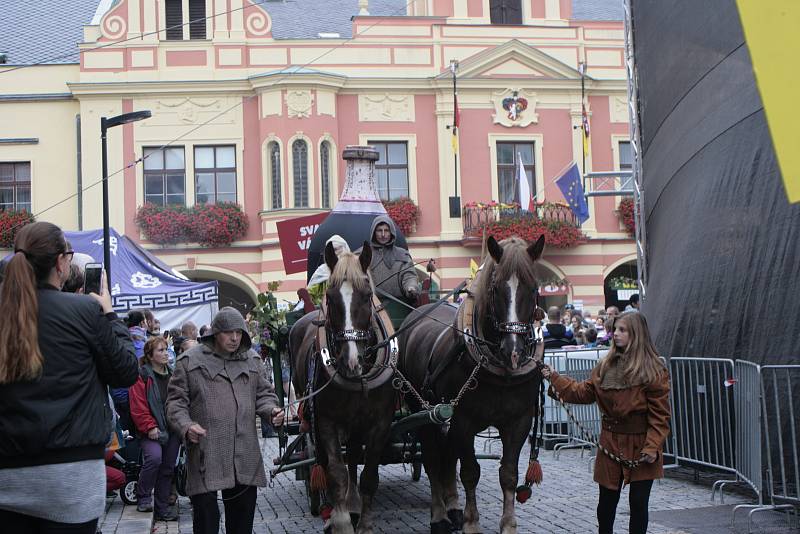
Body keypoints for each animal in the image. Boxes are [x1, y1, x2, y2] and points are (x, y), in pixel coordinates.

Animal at [290, 244, 396, 534]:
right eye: (329, 296)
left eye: (367, 296)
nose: (351, 361)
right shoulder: (326, 421)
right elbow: (335, 472)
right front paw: (341, 522)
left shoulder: (380, 422)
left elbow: (368, 474)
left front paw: (365, 522)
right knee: (323, 463)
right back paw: (331, 507)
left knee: (354, 457)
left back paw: (353, 502)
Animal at [398, 237, 548, 534]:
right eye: (495, 288)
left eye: (533, 287)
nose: (513, 351)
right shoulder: (462, 421)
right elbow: (470, 472)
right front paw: (471, 522)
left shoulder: (519, 421)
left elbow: (508, 474)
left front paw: (508, 524)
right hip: (423, 413)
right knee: (433, 460)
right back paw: (439, 516)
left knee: (447, 459)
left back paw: (453, 508)